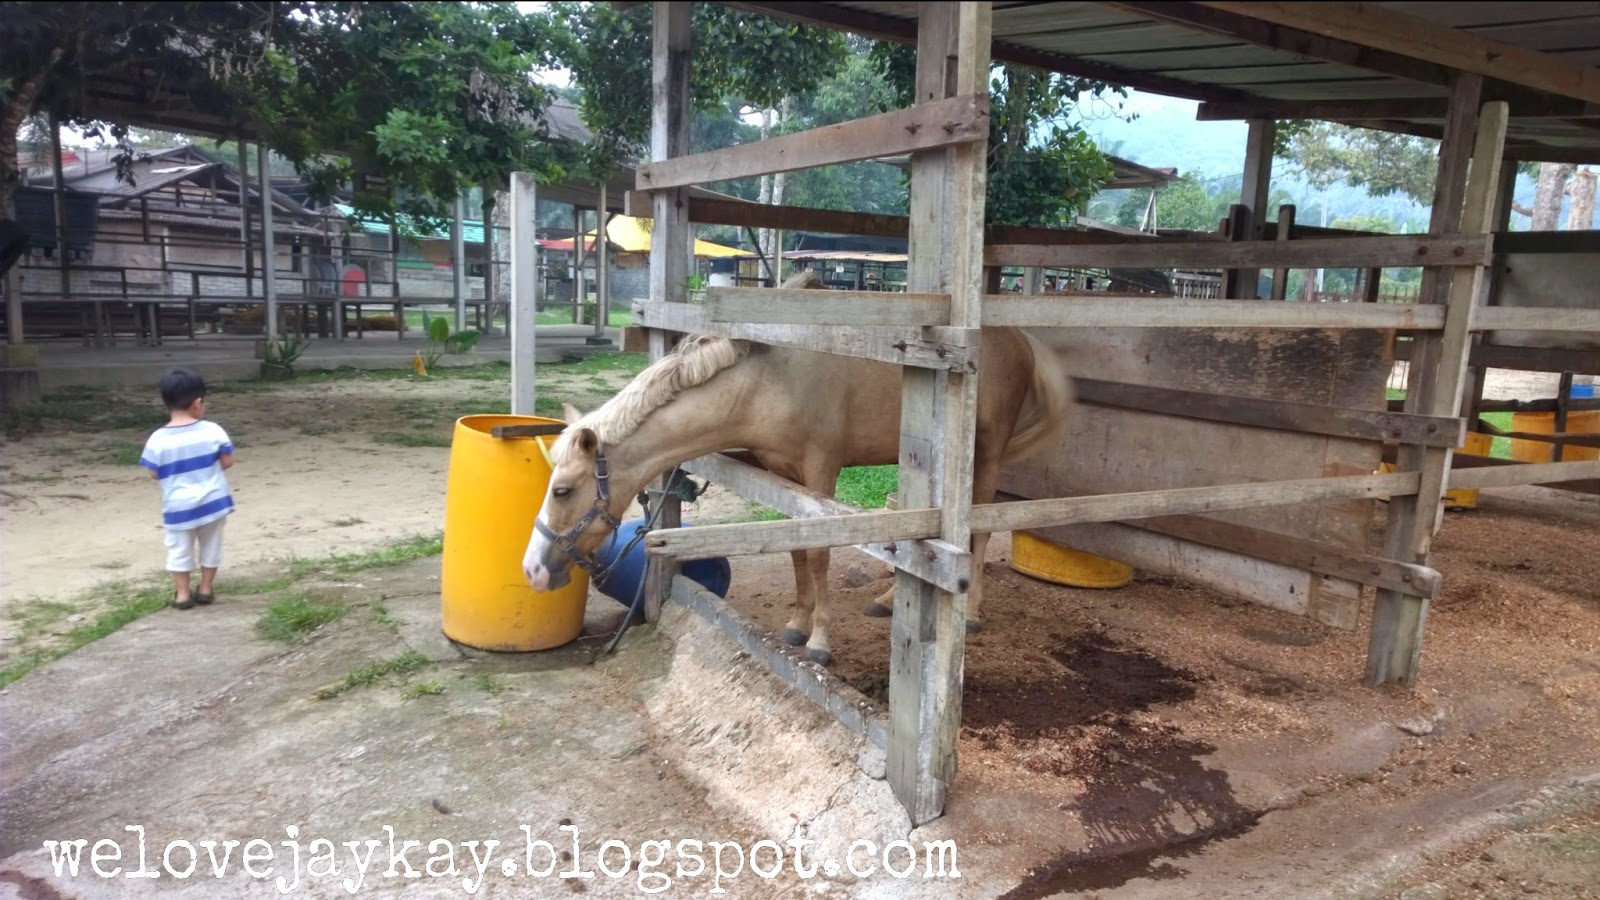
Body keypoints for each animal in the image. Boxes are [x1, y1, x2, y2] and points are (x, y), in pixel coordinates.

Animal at [523, 270, 1072, 666]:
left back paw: (972, 613)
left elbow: (819, 554)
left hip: (987, 454)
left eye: (563, 490)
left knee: (979, 530)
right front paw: (797, 624)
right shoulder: (783, 476)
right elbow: (795, 553)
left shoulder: (820, 472)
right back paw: (888, 600)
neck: (772, 379)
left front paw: (820, 642)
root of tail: (1020, 339)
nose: (532, 570)